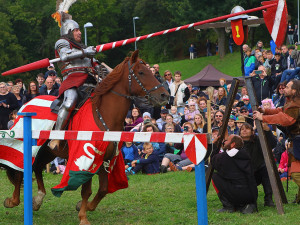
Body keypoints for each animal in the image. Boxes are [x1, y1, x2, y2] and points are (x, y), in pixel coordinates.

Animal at [1, 50, 169, 224]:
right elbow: (86, 190)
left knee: (37, 167)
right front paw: (83, 217)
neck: (104, 114)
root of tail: (27, 104)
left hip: (48, 151)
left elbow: (103, 189)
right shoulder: (86, 158)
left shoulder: (106, 159)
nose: (165, 95)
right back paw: (13, 201)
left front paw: (85, 207)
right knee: (20, 170)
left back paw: (38, 199)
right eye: (141, 72)